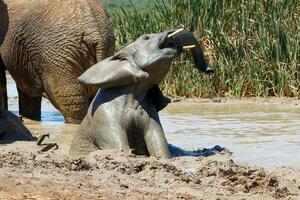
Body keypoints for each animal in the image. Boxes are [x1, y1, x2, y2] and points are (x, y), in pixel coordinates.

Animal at [69, 28, 213, 159]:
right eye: (146, 37)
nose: (210, 70)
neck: (136, 92)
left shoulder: (149, 112)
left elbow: (159, 145)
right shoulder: (104, 116)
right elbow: (120, 149)